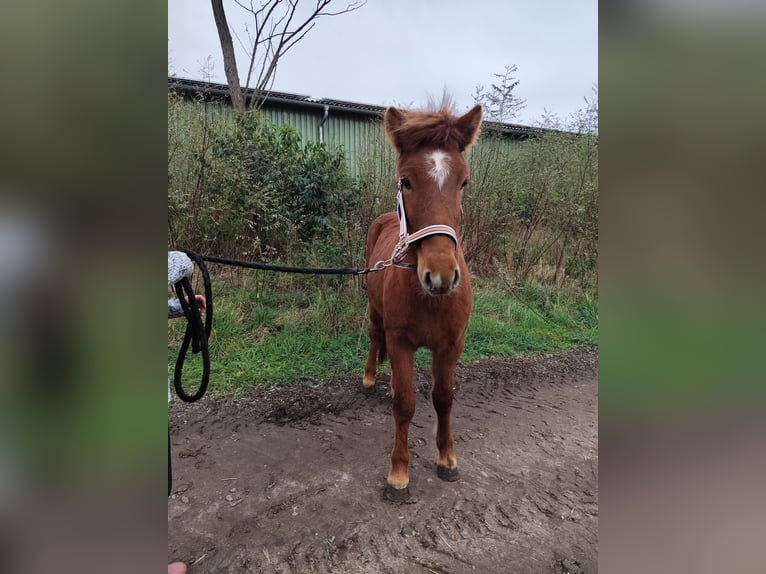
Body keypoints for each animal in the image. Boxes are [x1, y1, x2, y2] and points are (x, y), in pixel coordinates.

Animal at [363, 103, 482, 501]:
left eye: (463, 182)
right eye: (406, 181)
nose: (441, 275)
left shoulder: (451, 344)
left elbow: (443, 397)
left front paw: (447, 459)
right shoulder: (400, 342)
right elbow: (405, 405)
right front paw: (398, 474)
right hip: (374, 312)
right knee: (374, 336)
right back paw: (370, 377)